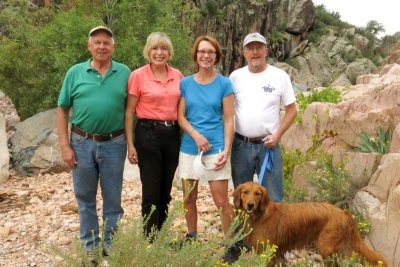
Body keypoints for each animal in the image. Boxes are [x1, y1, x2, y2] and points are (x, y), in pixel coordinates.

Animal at [231, 183, 388, 266]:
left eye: (257, 194)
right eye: (245, 192)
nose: (250, 205)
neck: (259, 215)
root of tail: (344, 213)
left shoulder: (268, 253)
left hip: (325, 247)